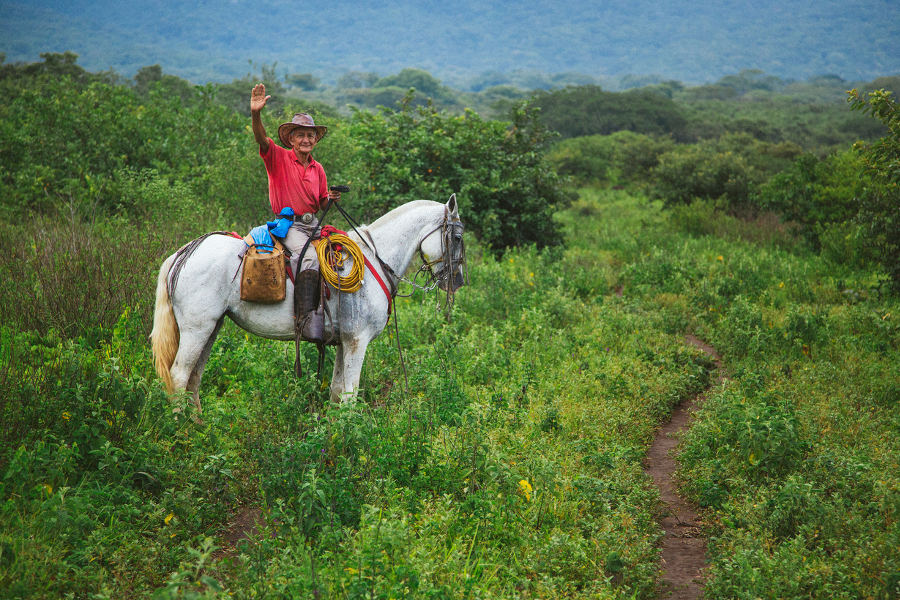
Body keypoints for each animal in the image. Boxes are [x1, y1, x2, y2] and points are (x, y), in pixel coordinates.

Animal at [150, 195, 466, 411]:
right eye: (457, 237)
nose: (457, 281)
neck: (374, 259)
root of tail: (184, 253)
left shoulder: (344, 342)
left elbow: (337, 392)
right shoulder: (357, 340)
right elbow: (350, 396)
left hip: (212, 327)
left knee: (193, 379)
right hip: (197, 329)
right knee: (179, 376)